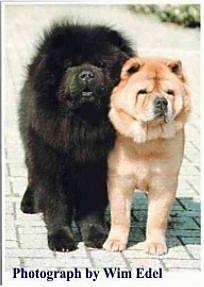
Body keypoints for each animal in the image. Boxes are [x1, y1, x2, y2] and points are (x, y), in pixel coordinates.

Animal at [18, 22, 134, 252]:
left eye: (100, 65)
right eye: (70, 65)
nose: (87, 74)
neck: (81, 125)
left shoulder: (97, 167)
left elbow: (91, 208)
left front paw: (96, 235)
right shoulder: (49, 162)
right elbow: (56, 204)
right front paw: (61, 238)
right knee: (31, 173)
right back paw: (29, 203)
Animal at [103, 57, 191, 255]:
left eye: (170, 93)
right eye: (142, 92)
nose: (162, 101)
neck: (148, 141)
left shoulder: (163, 183)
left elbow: (157, 218)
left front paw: (156, 245)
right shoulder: (120, 180)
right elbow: (120, 216)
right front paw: (115, 241)